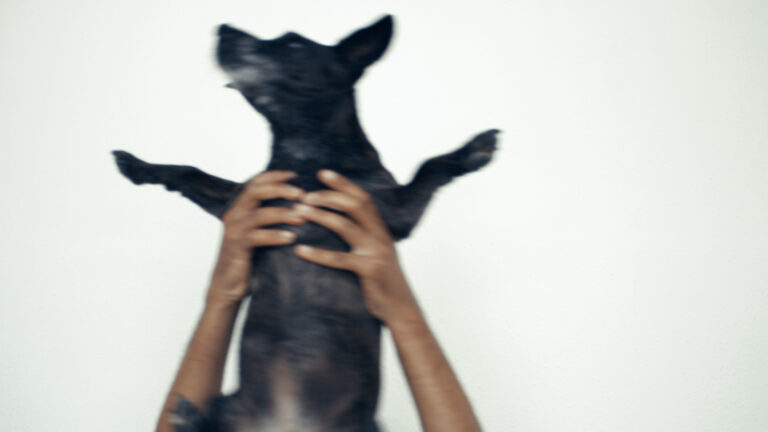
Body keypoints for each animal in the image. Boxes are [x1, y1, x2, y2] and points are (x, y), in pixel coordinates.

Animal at [112, 14, 498, 432]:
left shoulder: (395, 214)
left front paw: (472, 150)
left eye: (294, 44)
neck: (305, 158)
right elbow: (189, 172)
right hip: (230, 406)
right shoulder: (239, 202)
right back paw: (188, 418)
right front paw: (139, 166)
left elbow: (431, 165)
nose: (223, 29)